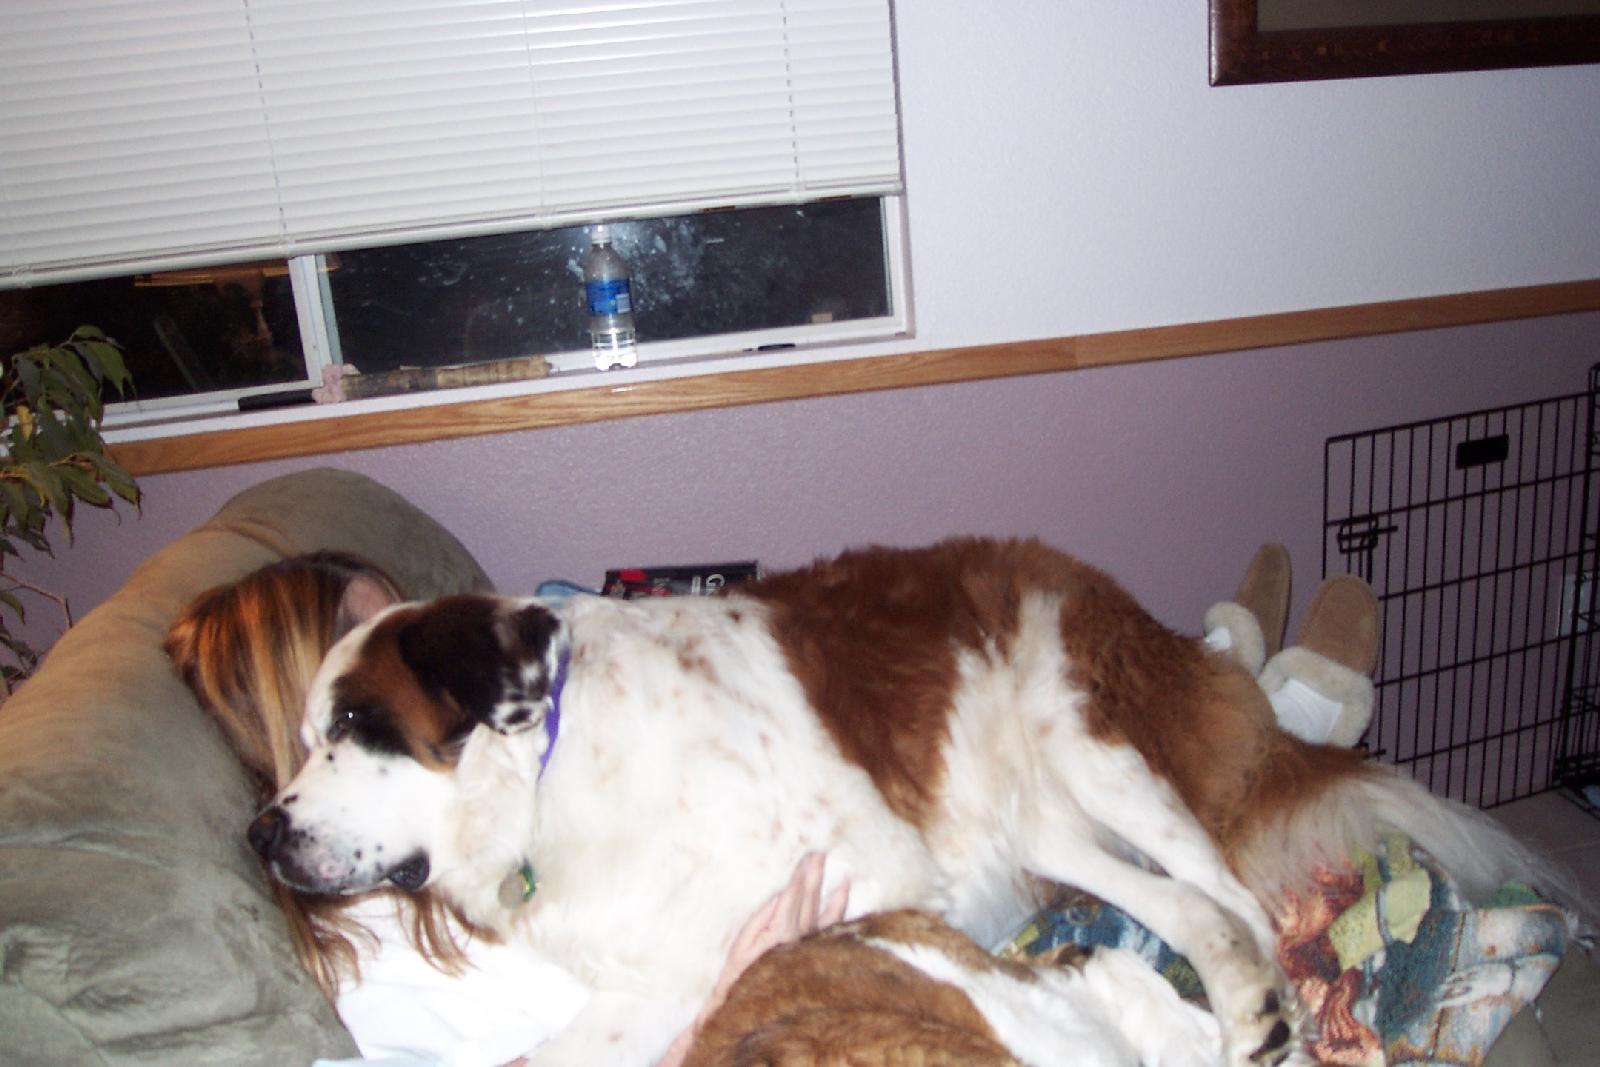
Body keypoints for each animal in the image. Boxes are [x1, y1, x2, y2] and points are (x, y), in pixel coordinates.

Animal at [249, 537, 1556, 1066]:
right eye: (302, 738)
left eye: (355, 727)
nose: (262, 827)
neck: (557, 768)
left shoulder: (866, 867)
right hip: (1040, 817)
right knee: (1192, 911)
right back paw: (1242, 1009)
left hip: (1093, 745)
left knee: (1234, 890)